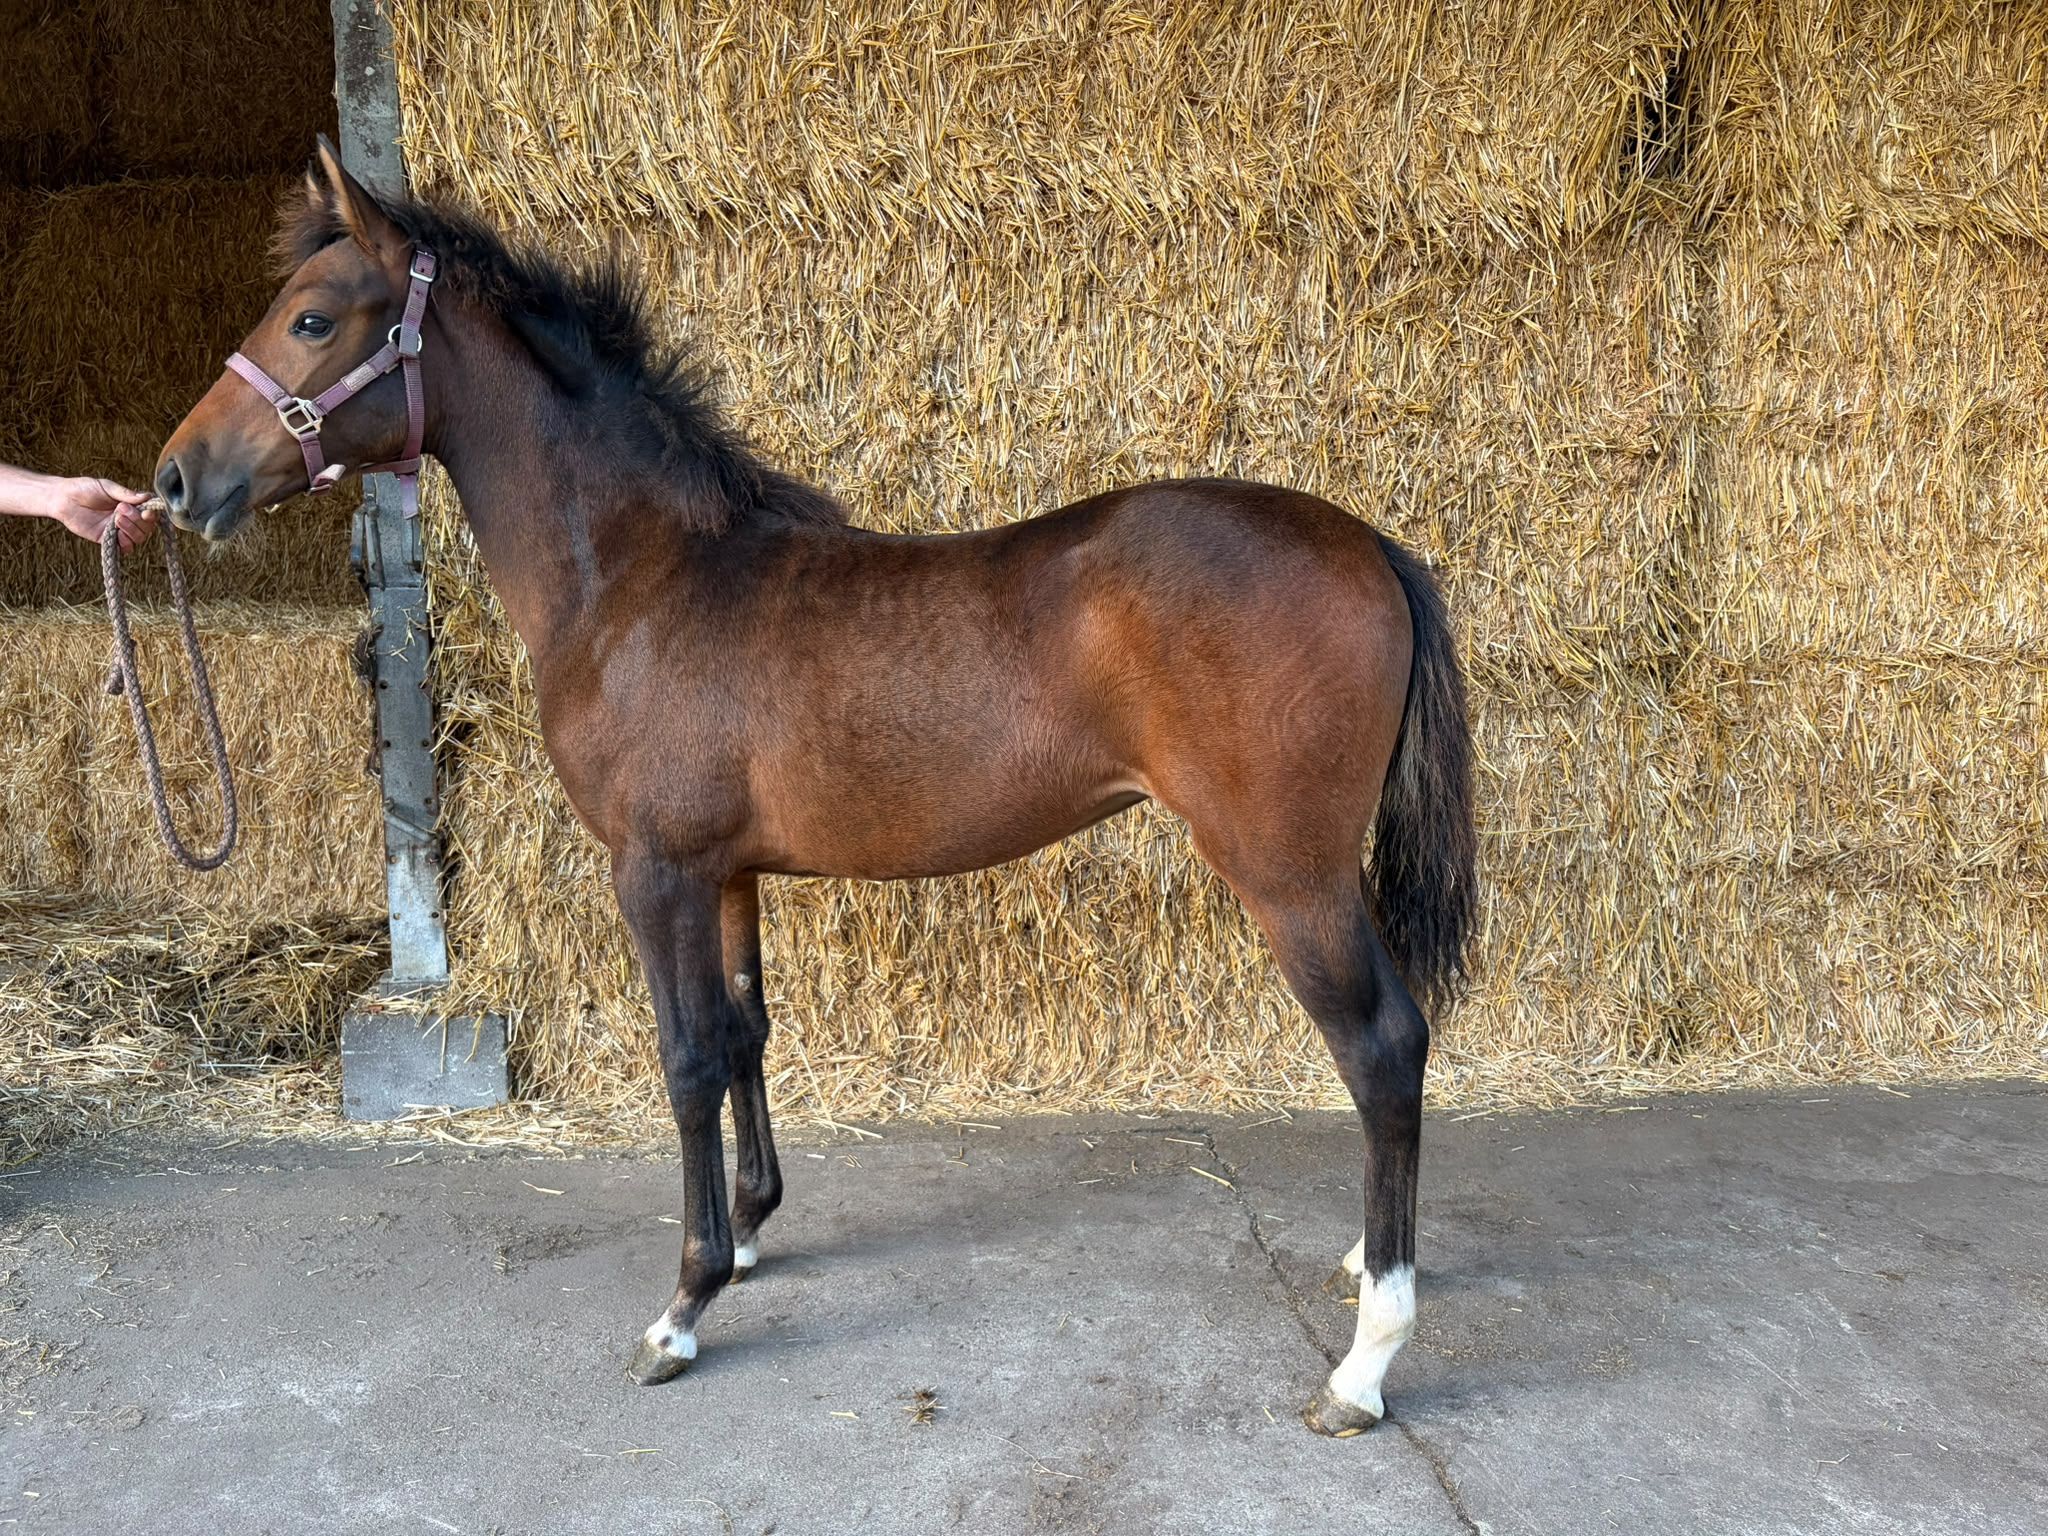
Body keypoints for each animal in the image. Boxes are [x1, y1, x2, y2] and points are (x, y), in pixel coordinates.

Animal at [154, 138, 1477, 1436]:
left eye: (313, 318)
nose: (175, 479)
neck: (644, 578)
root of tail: (1367, 544)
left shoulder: (655, 872)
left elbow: (687, 1058)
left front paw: (681, 1308)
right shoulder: (729, 873)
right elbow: (745, 1032)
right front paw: (745, 1235)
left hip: (1286, 874)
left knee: (1379, 1045)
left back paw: (1364, 1362)